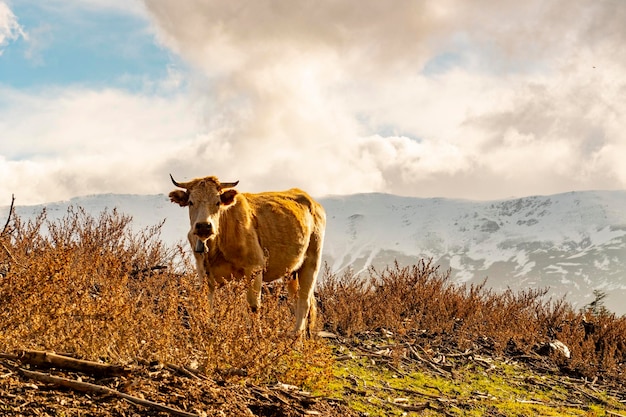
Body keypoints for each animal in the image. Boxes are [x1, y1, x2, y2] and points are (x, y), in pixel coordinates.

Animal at [169, 173, 326, 334]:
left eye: (217, 202)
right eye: (191, 202)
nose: (203, 226)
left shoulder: (254, 267)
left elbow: (253, 306)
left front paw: (257, 334)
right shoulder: (204, 273)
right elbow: (207, 304)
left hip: (312, 261)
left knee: (304, 301)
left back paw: (295, 336)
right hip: (292, 272)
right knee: (296, 298)